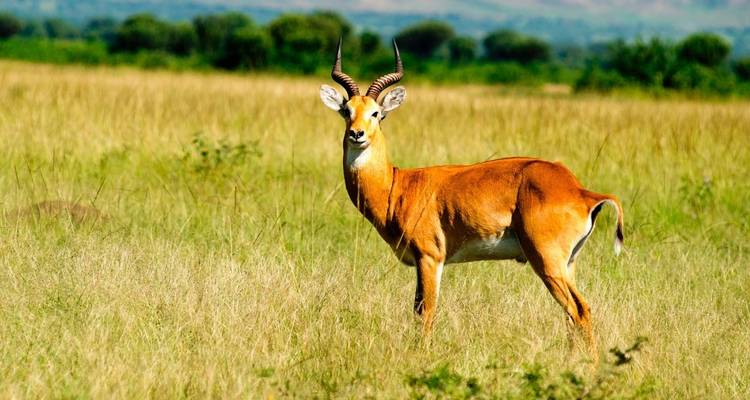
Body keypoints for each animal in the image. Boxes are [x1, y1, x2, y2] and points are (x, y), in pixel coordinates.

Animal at [319, 39, 624, 355]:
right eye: (346, 110)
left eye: (376, 113)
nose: (357, 134)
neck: (397, 186)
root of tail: (579, 190)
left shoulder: (430, 258)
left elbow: (425, 312)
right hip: (568, 264)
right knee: (575, 313)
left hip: (547, 261)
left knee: (578, 310)